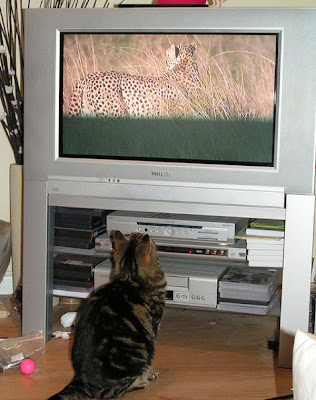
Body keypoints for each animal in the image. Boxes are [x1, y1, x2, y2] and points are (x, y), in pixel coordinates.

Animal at [48, 230, 167, 398]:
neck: (129, 277)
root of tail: (82, 377)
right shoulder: (154, 326)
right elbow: (149, 365)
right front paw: (149, 374)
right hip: (140, 353)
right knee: (113, 392)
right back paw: (140, 382)